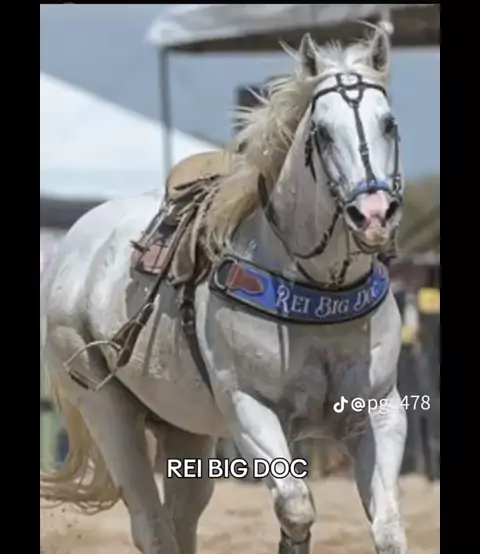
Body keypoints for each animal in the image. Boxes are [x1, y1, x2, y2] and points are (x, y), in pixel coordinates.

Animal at [40, 29, 408, 554]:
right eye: (321, 132)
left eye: (389, 123)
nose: (374, 215)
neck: (317, 287)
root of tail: (73, 246)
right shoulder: (248, 407)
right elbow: (296, 507)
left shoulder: (378, 411)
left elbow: (387, 529)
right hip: (107, 410)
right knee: (152, 525)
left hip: (183, 430)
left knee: (183, 518)